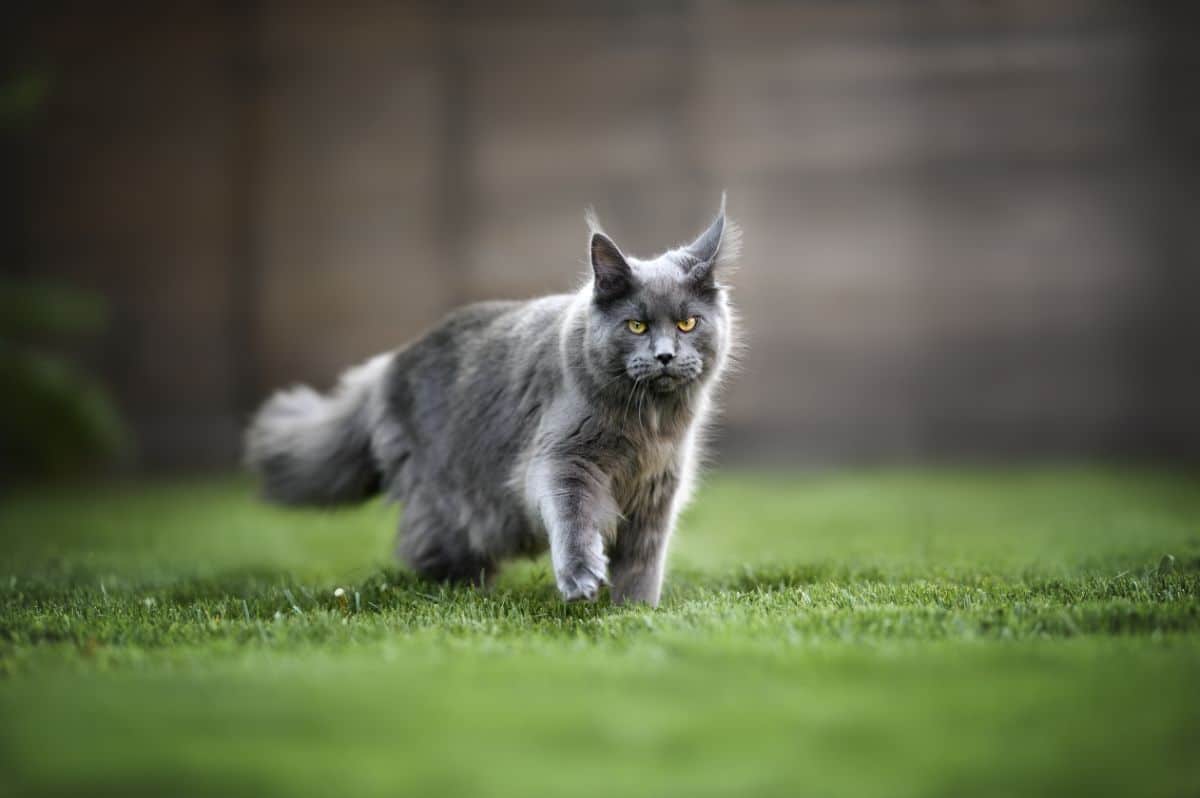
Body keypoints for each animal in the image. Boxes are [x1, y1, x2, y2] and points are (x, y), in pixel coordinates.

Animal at [246, 199, 739, 604]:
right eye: (637, 326)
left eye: (688, 323)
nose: (664, 356)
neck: (648, 426)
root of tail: (386, 366)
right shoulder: (563, 460)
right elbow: (574, 520)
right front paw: (582, 580)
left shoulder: (658, 489)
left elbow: (642, 562)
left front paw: (633, 611)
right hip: (450, 501)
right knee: (427, 548)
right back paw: (456, 593)